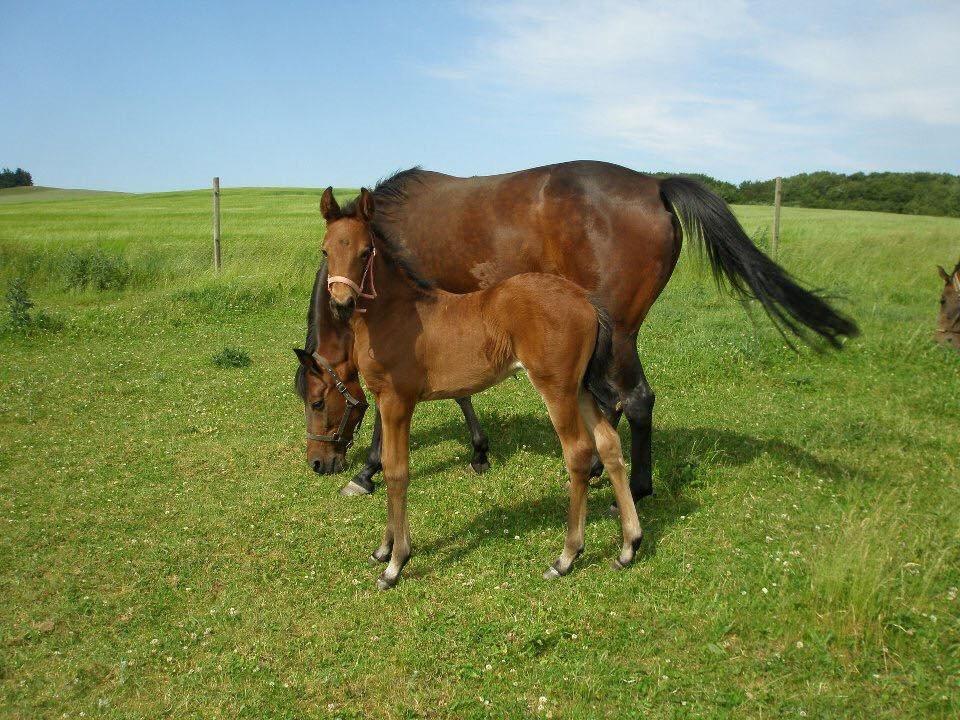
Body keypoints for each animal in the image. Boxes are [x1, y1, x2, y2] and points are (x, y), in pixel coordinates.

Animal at [296, 161, 860, 504]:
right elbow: (462, 394)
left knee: (636, 399)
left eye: (319, 400)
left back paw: (635, 488)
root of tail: (655, 184)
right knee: (611, 401)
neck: (385, 237)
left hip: (621, 330)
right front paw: (479, 451)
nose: (319, 463)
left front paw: (366, 472)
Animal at [304, 188, 640, 588]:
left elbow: (397, 471)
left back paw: (566, 557)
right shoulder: (386, 400)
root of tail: (585, 299)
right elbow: (386, 462)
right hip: (580, 387)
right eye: (325, 250)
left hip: (557, 389)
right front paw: (384, 548)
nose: (342, 303)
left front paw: (396, 563)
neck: (395, 314)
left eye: (364, 251)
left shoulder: (398, 401)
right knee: (609, 444)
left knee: (578, 452)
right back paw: (629, 546)